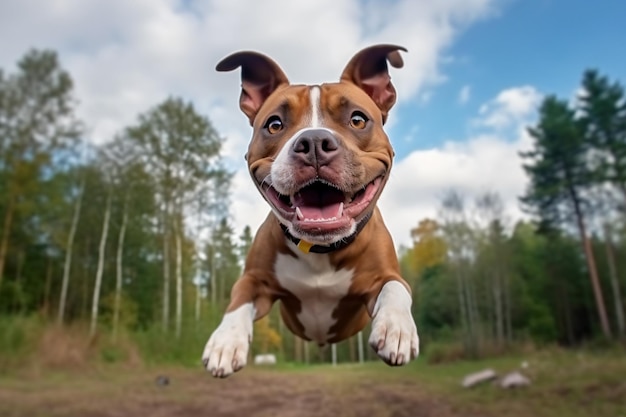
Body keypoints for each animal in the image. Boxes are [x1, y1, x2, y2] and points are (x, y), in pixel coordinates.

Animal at [202, 44, 416, 376]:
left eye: (358, 119)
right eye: (274, 124)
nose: (314, 142)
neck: (321, 249)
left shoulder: (384, 277)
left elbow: (396, 287)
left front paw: (396, 327)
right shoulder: (256, 281)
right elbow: (239, 297)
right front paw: (225, 341)